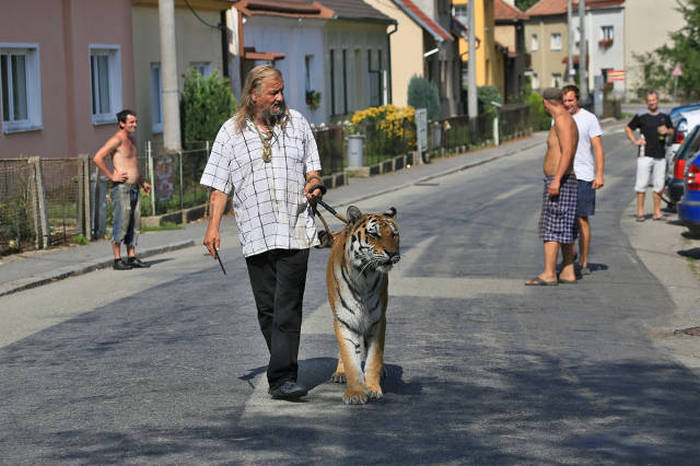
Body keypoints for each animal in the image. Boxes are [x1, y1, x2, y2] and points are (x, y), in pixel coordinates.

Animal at [324, 204, 400, 404]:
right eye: (374, 234)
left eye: (394, 234)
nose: (392, 254)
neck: (364, 276)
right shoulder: (344, 320)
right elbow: (350, 359)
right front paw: (356, 393)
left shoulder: (378, 320)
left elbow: (374, 358)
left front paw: (373, 389)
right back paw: (340, 373)